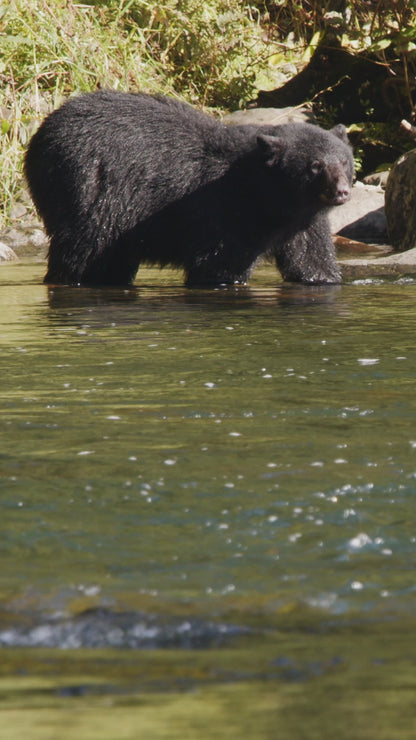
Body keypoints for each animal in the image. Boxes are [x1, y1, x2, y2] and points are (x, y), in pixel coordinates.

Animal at [24, 91, 352, 288]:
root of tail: (41, 134)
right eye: (315, 165)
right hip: (86, 189)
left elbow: (312, 258)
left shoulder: (303, 221)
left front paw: (322, 277)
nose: (342, 191)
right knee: (84, 250)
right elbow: (219, 263)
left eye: (344, 160)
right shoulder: (225, 210)